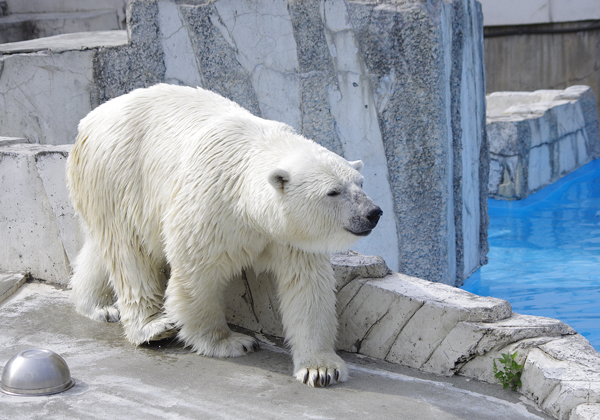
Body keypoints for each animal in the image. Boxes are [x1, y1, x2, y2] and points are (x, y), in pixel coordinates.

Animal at [67, 83, 384, 388]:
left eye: (360, 183)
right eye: (333, 191)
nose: (373, 212)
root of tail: (88, 120)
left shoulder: (292, 236)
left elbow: (306, 286)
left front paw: (321, 369)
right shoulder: (210, 204)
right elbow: (197, 273)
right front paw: (231, 342)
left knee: (102, 248)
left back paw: (99, 307)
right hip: (118, 176)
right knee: (130, 252)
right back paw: (153, 327)